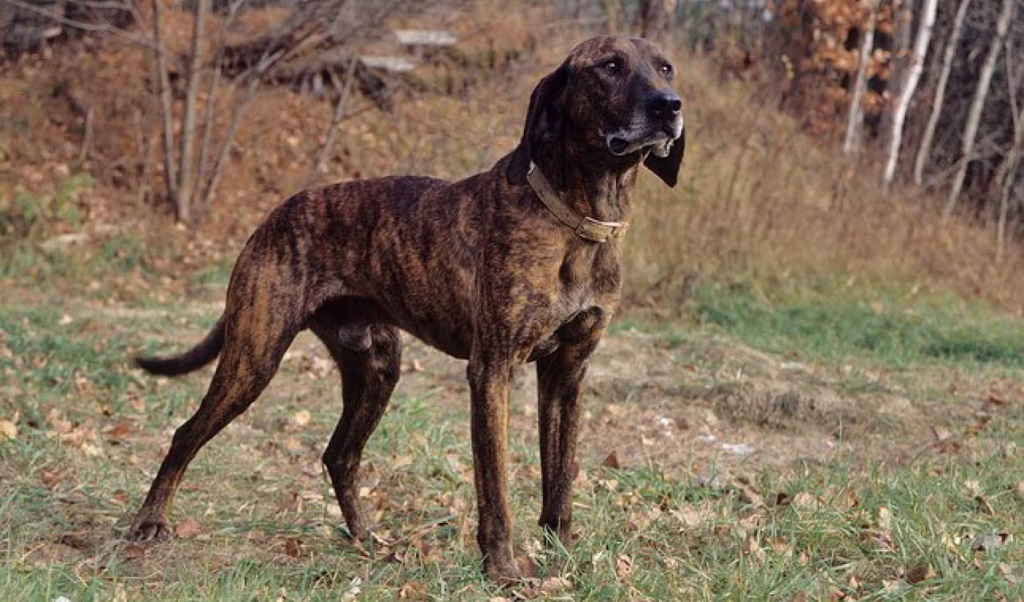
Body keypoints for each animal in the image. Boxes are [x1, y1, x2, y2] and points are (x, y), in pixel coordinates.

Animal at [130, 35, 688, 581]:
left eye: (666, 67)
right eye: (610, 66)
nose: (670, 106)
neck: (577, 220)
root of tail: (274, 215)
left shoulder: (567, 374)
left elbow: (561, 478)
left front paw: (563, 556)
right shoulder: (493, 371)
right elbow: (496, 487)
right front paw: (503, 569)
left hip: (376, 368)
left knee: (340, 455)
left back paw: (366, 541)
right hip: (254, 357)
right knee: (186, 433)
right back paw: (150, 522)